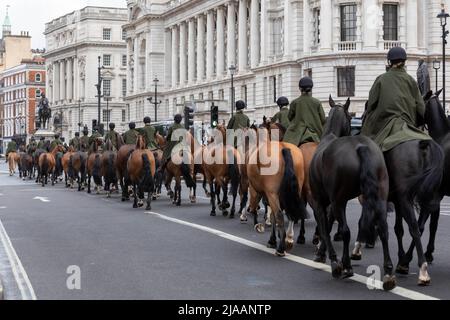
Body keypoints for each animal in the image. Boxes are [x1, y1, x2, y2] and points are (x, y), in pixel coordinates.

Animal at [312, 96, 396, 292]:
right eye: (351, 118)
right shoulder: (332, 203)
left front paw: (331, 259)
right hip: (379, 197)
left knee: (345, 230)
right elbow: (328, 224)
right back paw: (388, 272)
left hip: (339, 200)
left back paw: (345, 266)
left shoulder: (321, 202)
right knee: (383, 228)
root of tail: (360, 147)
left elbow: (325, 227)